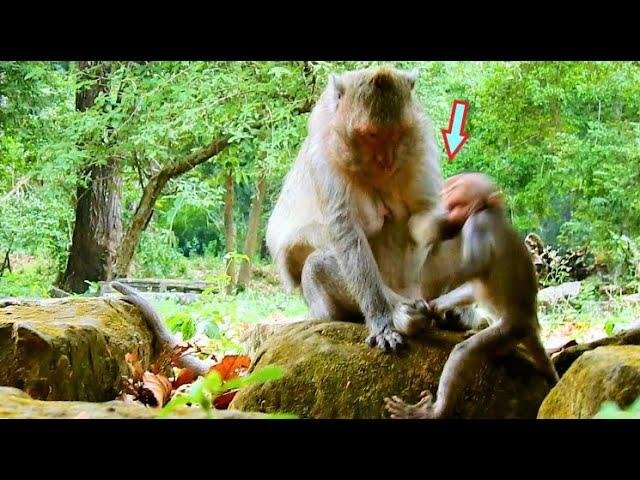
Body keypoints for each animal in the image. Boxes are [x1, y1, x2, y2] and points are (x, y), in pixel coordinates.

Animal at [264, 65, 460, 350]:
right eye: (371, 134)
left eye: (396, 133)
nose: (387, 160)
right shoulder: (325, 155)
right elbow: (348, 233)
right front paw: (383, 323)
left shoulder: (421, 142)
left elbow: (424, 210)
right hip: (324, 306)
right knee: (316, 263)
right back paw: (404, 313)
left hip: (424, 286)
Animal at [388, 173, 556, 420]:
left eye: (456, 189)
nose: (444, 192)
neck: (490, 209)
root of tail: (530, 322)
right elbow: (472, 285)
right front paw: (432, 307)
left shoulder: (478, 224)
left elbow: (472, 267)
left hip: (511, 328)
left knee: (464, 352)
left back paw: (435, 411)